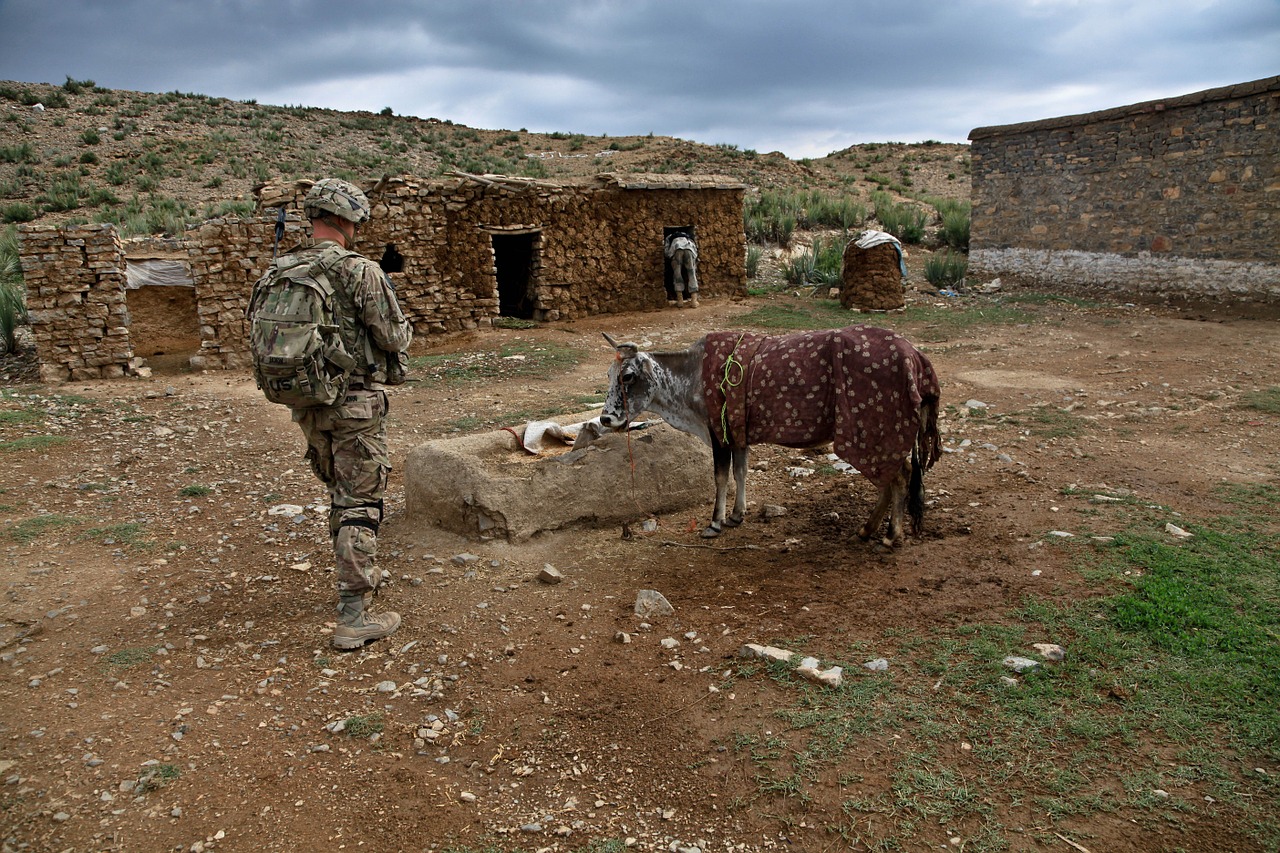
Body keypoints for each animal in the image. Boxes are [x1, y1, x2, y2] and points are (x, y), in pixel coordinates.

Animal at [599, 325, 942, 545]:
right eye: (609, 374)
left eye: (627, 376)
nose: (606, 418)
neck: (691, 376)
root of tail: (916, 356)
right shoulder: (739, 435)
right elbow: (741, 472)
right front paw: (737, 515)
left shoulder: (719, 434)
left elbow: (721, 477)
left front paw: (715, 522)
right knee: (891, 478)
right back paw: (867, 530)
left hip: (876, 434)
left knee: (899, 476)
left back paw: (891, 535)